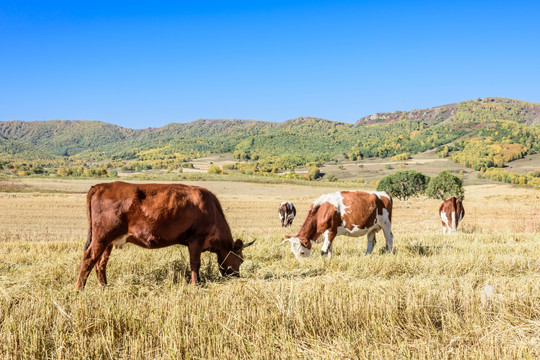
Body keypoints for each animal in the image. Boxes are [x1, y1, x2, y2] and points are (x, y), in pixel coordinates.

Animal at [76, 181, 255, 288]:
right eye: (240, 259)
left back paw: (104, 287)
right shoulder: (196, 239)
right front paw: (196, 284)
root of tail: (100, 186)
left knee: (100, 263)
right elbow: (195, 263)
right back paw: (79, 289)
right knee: (89, 258)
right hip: (102, 237)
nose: (236, 277)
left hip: (109, 241)